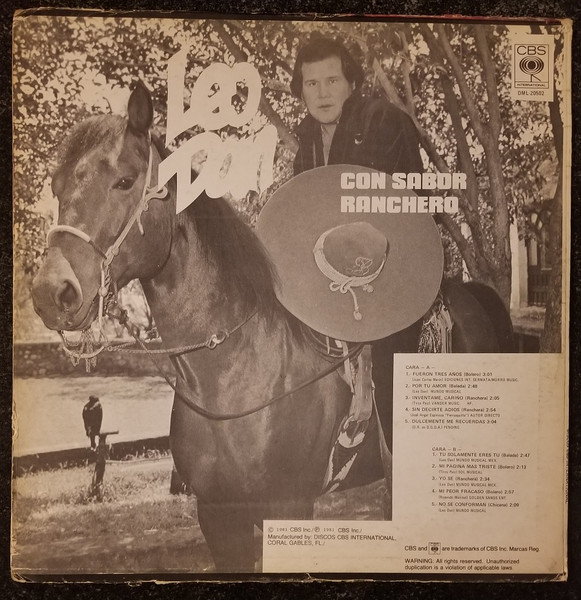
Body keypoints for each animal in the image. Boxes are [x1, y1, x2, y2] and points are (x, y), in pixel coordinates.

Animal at [31, 82, 513, 572]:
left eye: (125, 180)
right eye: (56, 186)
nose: (52, 292)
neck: (235, 373)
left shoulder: (289, 507)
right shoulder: (219, 516)